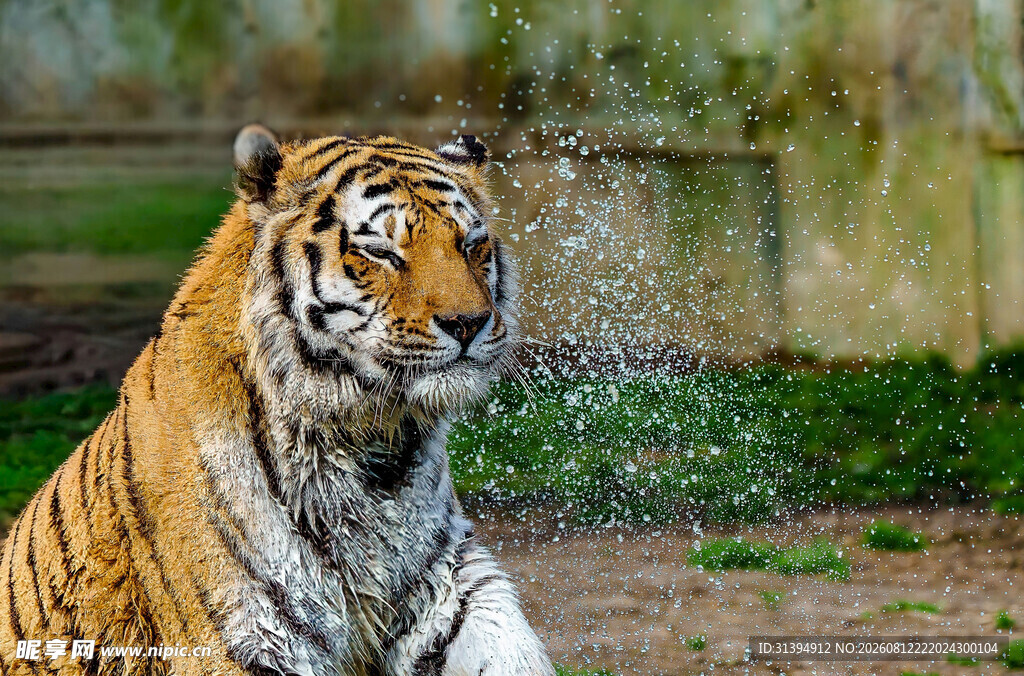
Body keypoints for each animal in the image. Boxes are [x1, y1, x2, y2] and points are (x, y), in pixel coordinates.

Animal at [0, 125, 555, 676]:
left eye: (471, 244)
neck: (373, 443)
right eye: (380, 252)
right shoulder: (246, 632)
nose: (469, 323)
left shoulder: (446, 586)